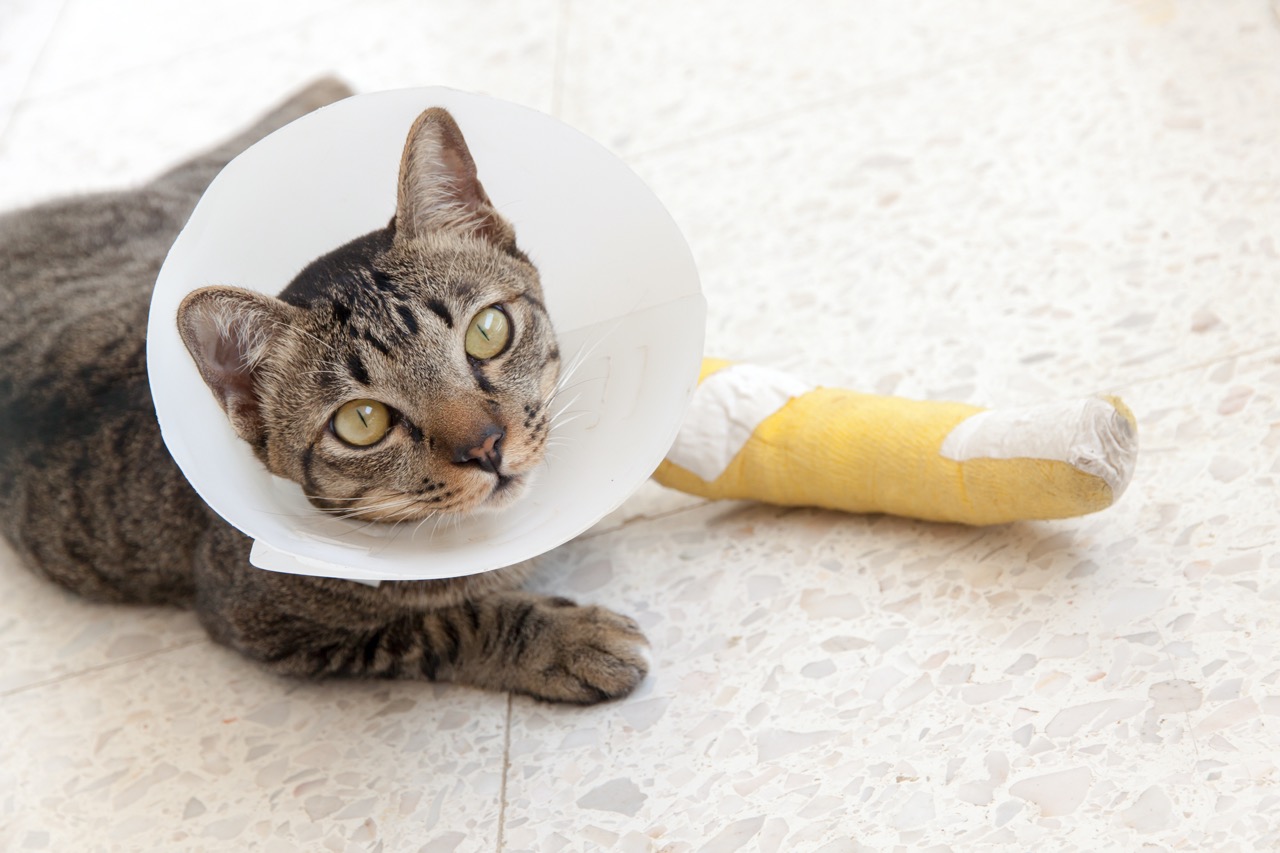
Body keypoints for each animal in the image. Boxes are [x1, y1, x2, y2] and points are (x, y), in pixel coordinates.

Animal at [0, 78, 645, 701]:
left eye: (487, 331)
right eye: (362, 421)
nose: (486, 446)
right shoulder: (264, 621)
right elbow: (447, 624)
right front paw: (568, 641)